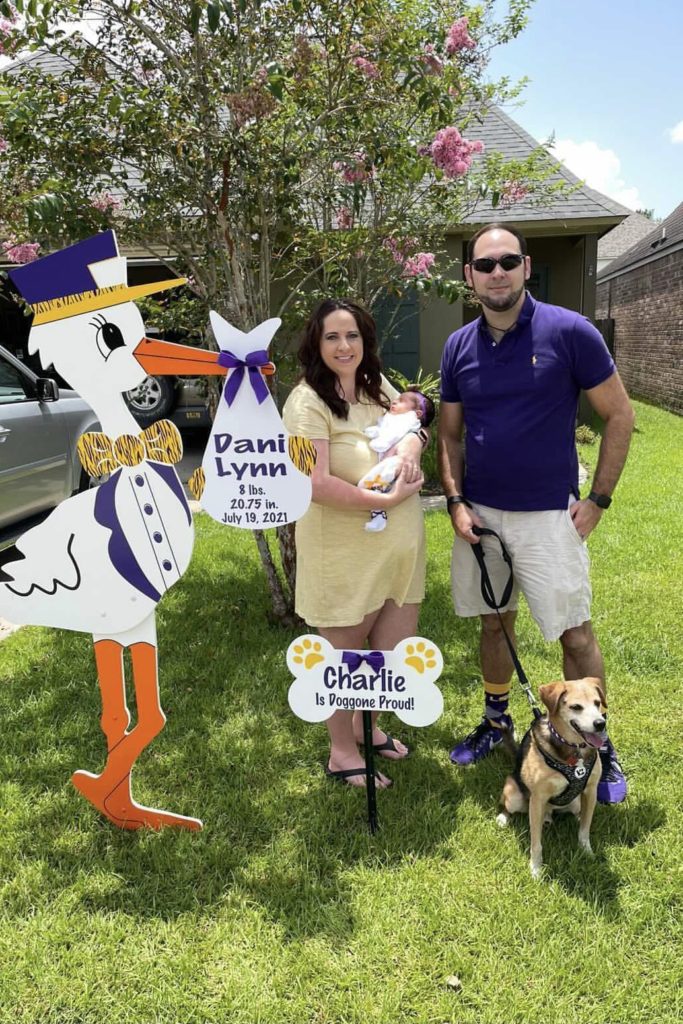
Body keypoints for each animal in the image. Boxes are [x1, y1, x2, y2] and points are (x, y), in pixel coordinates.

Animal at [497, 679, 610, 880]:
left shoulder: (590, 791)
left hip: (576, 802)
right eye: (576, 707)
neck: (574, 750)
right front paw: (536, 869)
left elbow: (585, 829)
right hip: (514, 794)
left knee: (575, 813)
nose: (600, 724)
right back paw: (504, 817)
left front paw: (587, 852)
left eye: (597, 703)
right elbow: (536, 843)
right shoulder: (538, 798)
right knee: (508, 806)